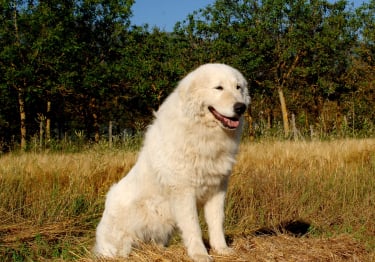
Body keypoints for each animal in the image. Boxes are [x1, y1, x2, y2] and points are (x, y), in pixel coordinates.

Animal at [95, 64, 251, 262]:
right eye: (219, 88)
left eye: (238, 87)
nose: (241, 107)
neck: (202, 133)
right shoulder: (184, 192)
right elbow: (194, 227)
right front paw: (200, 254)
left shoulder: (217, 189)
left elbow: (217, 222)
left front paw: (222, 249)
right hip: (123, 237)